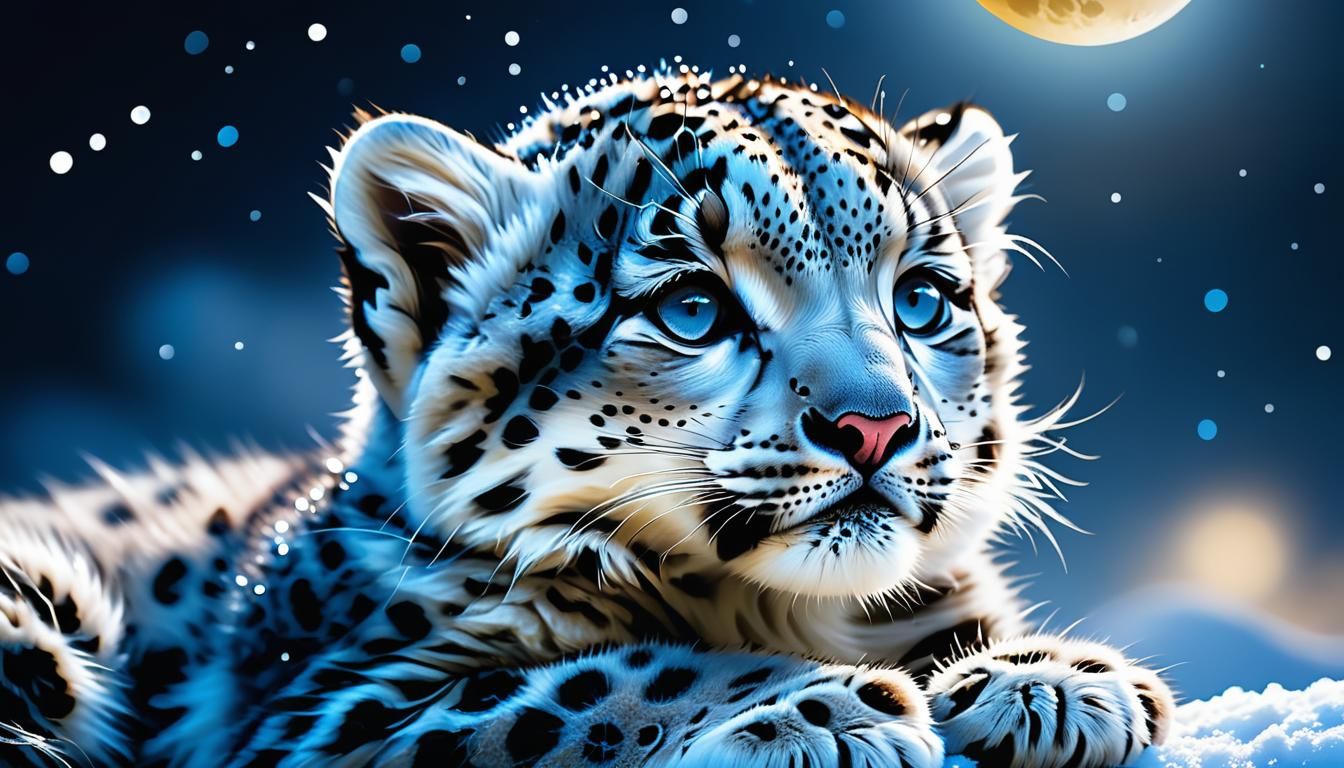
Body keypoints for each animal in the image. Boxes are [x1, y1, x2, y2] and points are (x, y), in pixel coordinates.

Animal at [0, 67, 1173, 767]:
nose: (876, 426)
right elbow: (593, 678)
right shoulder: (325, 710)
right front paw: (823, 709)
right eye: (693, 306)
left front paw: (1053, 683)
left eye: (923, 297)